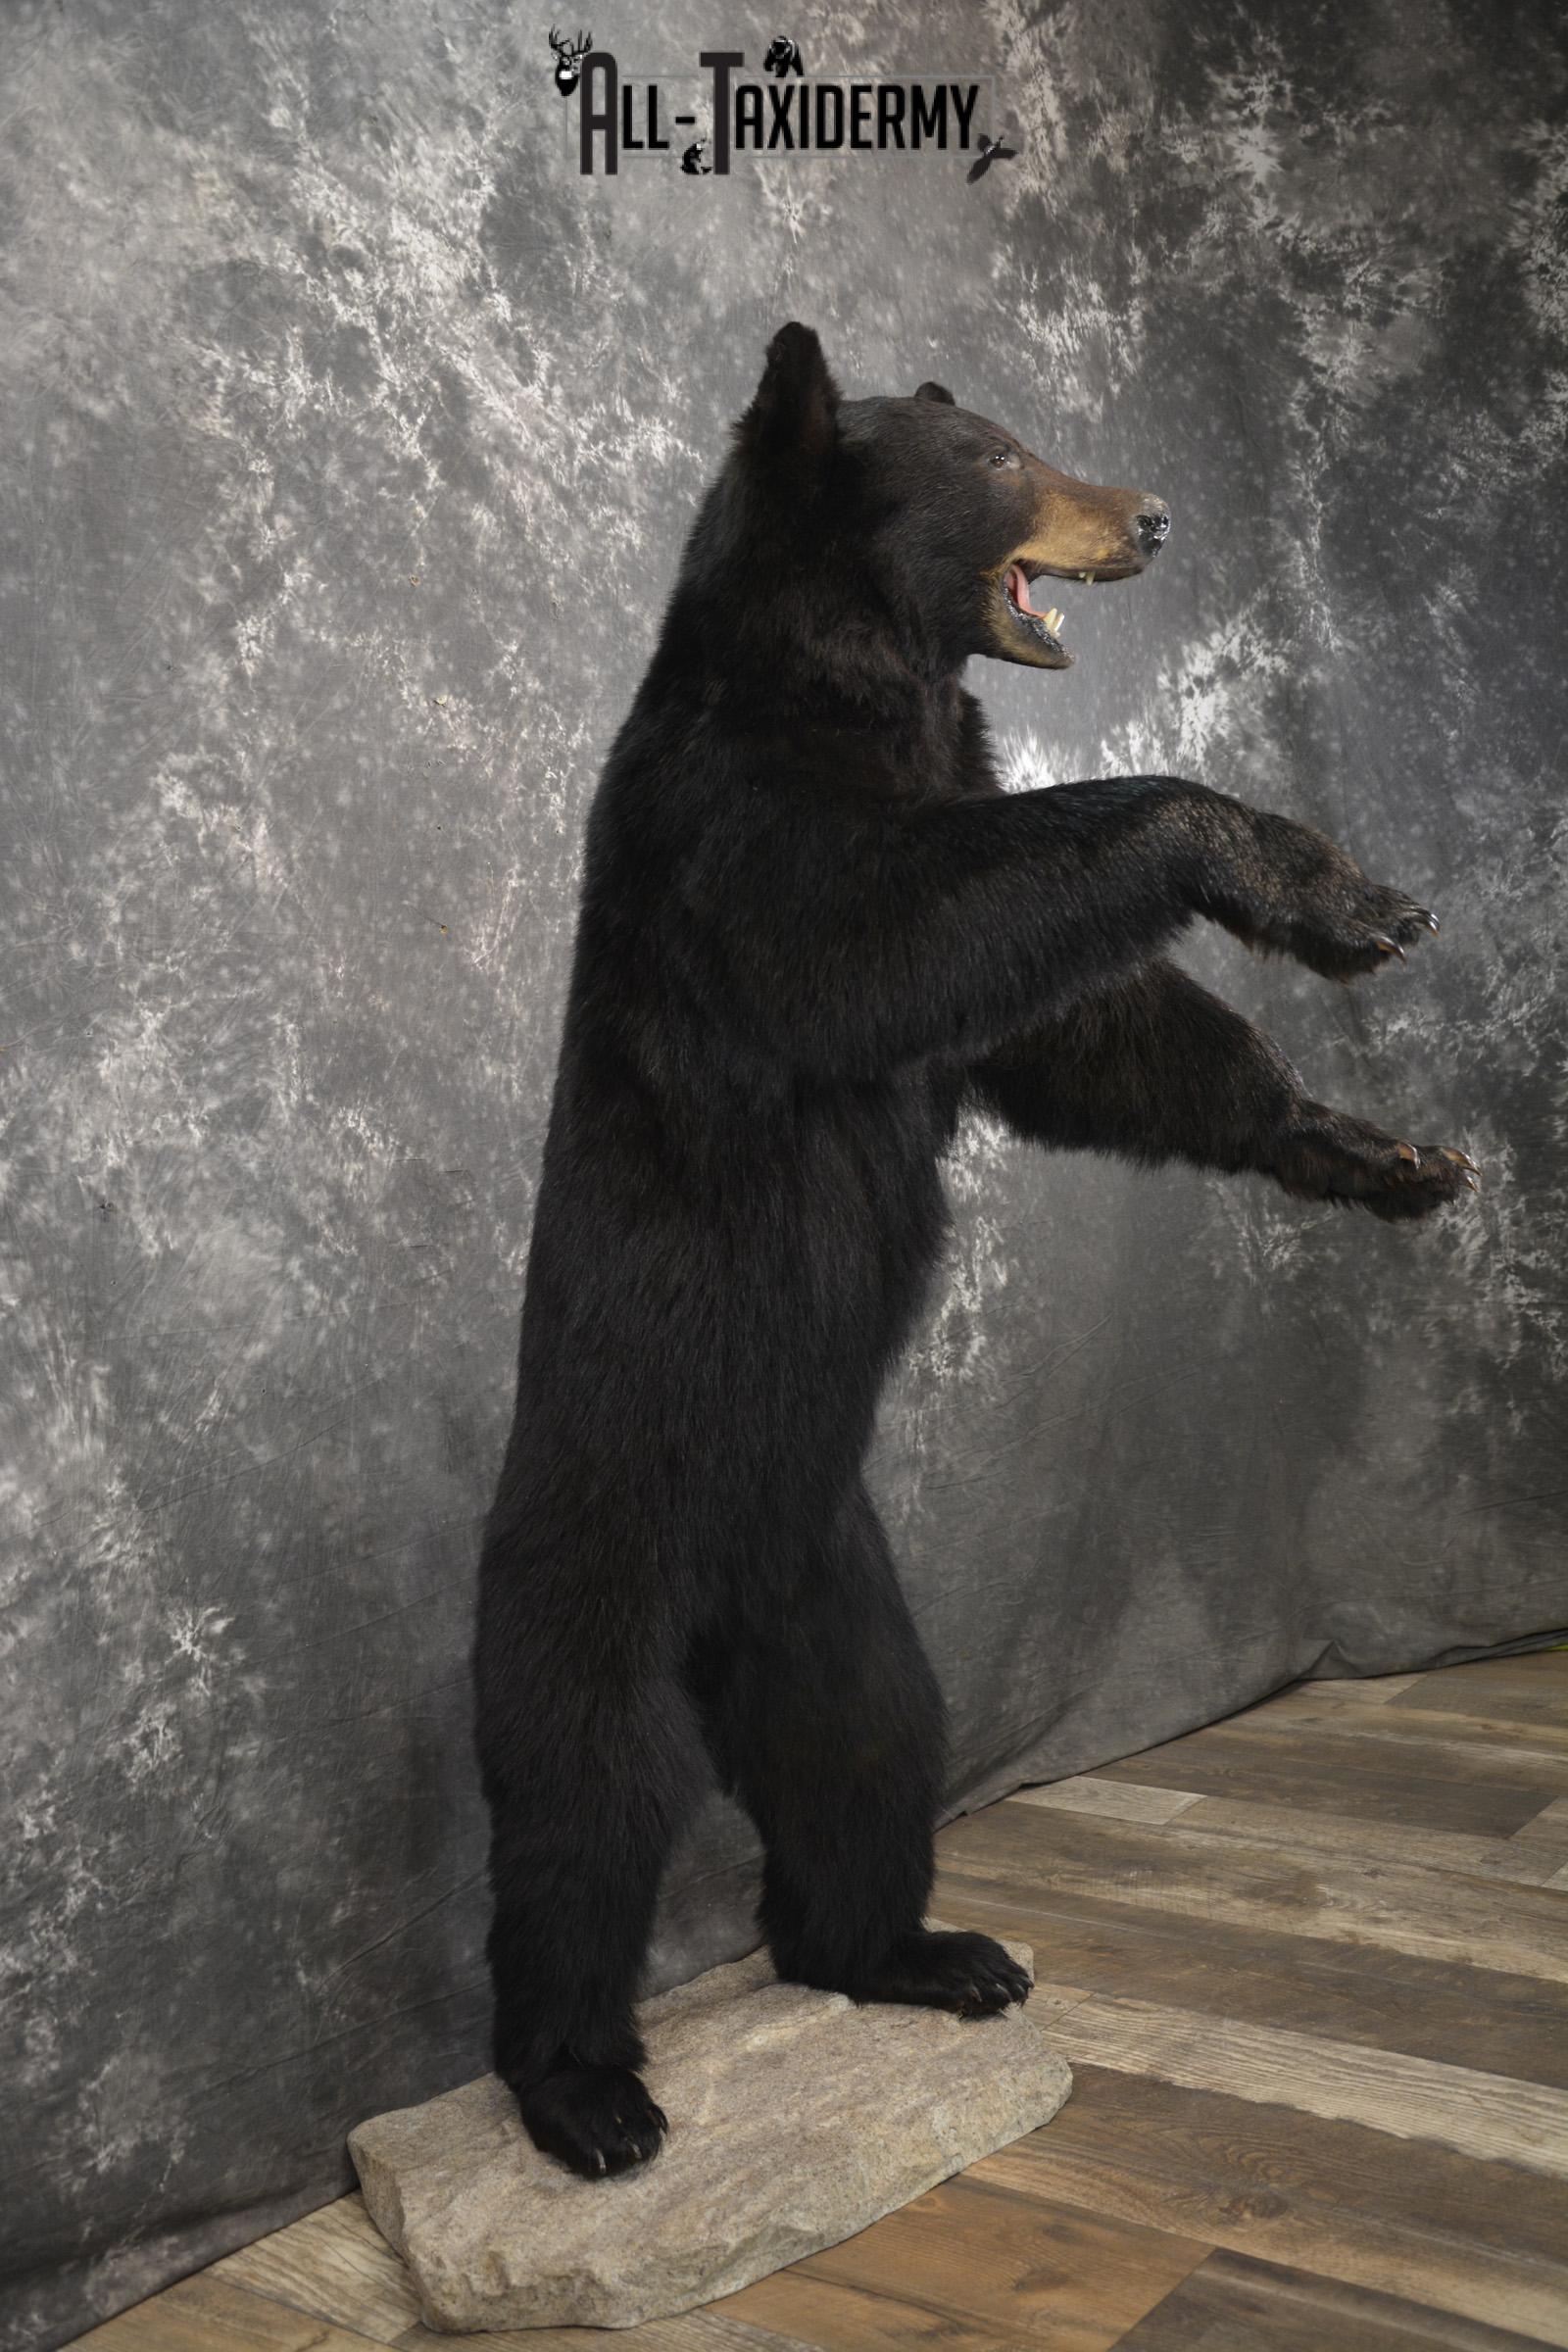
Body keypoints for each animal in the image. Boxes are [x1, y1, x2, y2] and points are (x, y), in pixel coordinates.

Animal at [472, 322, 1478, 2180]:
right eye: (1003, 459)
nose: (1153, 512)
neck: (861, 676)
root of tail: (720, 1615)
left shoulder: (944, 827)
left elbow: (1089, 1031)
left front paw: (1378, 1149)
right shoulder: (743, 834)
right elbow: (907, 926)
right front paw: (1339, 897)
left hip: (842, 1591)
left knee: (868, 1760)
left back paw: (927, 1955)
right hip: (595, 1570)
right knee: (579, 1814)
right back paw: (589, 2098)